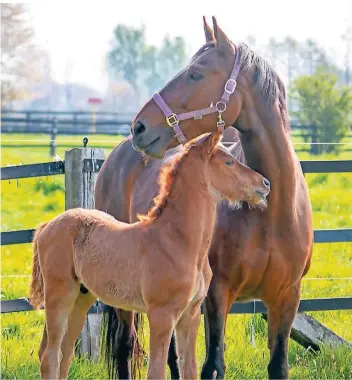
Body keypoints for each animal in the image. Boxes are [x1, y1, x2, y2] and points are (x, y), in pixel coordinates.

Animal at [28, 132, 270, 378]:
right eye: (229, 162)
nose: (265, 183)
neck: (177, 241)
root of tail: (48, 225)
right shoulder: (161, 315)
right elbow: (157, 370)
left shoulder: (190, 315)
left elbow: (189, 368)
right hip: (60, 295)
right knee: (50, 354)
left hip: (82, 297)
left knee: (64, 352)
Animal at [96, 16, 314, 378]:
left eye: (196, 73)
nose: (139, 127)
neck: (271, 213)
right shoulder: (217, 295)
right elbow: (214, 365)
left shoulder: (286, 298)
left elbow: (278, 365)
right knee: (124, 347)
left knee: (169, 356)